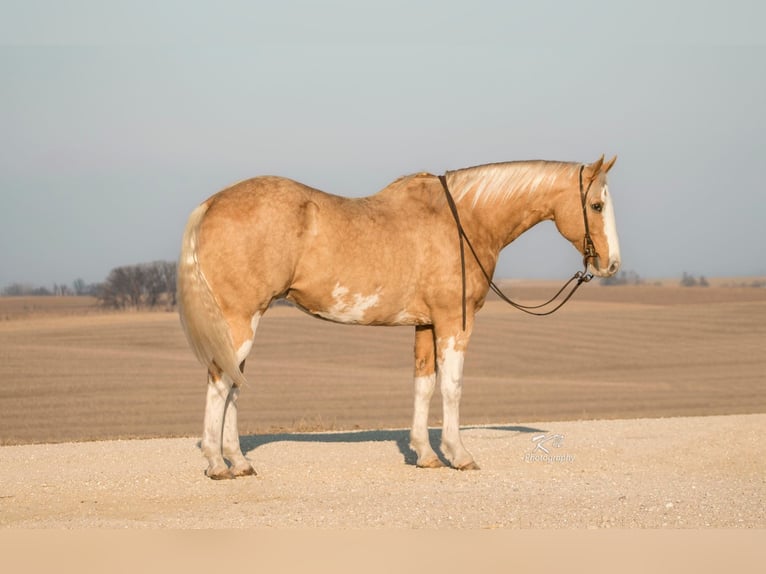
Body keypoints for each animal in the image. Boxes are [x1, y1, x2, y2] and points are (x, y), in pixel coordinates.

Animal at [177, 155, 620, 480]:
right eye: (596, 205)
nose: (611, 264)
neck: (464, 220)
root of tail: (212, 203)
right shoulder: (453, 322)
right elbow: (452, 387)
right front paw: (459, 455)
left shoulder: (425, 324)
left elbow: (423, 386)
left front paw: (426, 455)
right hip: (240, 319)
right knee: (221, 382)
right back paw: (217, 464)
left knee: (233, 383)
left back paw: (239, 462)